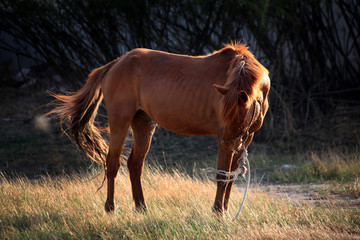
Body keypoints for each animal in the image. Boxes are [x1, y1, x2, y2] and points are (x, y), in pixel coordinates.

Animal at [50, 42, 270, 215]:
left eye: (239, 117)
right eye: (223, 114)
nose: (228, 143)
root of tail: (115, 63)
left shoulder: (245, 138)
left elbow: (231, 176)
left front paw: (224, 210)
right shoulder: (224, 137)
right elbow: (223, 175)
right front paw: (217, 212)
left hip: (143, 122)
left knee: (135, 164)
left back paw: (141, 207)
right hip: (120, 120)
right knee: (112, 163)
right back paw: (110, 208)